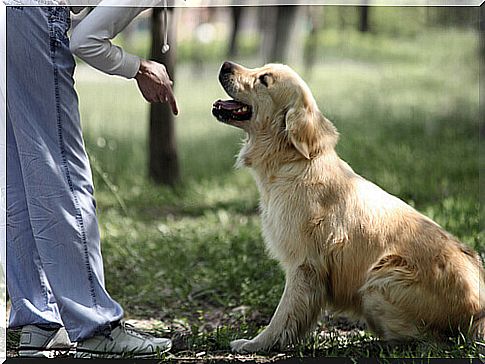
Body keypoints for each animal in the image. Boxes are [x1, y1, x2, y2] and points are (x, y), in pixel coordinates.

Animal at [212, 61, 484, 352]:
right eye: (261, 68)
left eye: (264, 79)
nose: (225, 64)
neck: (293, 161)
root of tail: (479, 313)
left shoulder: (304, 265)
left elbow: (283, 315)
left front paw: (257, 344)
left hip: (380, 280)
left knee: (429, 340)